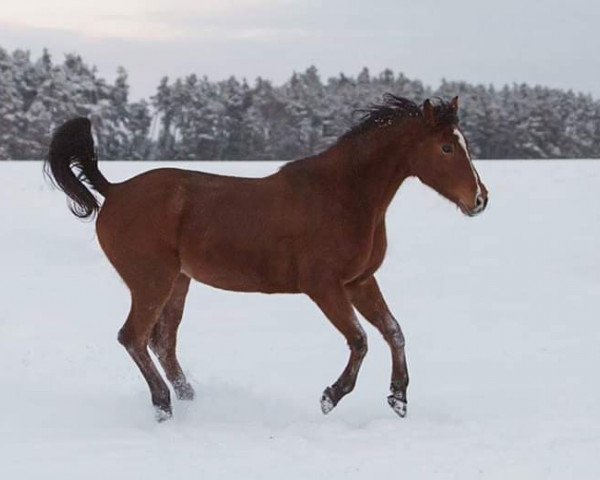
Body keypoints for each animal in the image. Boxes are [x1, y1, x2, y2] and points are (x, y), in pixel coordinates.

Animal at [47, 94, 488, 420]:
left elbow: (393, 331)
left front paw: (398, 398)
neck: (345, 195)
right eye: (447, 147)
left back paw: (190, 399)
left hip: (178, 282)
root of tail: (114, 190)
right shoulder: (323, 286)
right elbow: (360, 340)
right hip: (151, 280)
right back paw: (163, 406)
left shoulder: (359, 281)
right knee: (134, 337)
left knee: (163, 342)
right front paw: (331, 395)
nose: (480, 199)